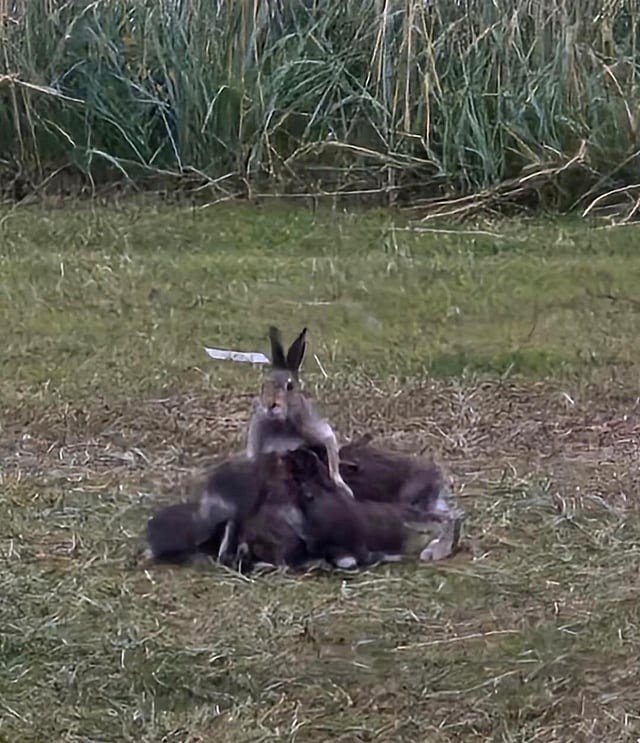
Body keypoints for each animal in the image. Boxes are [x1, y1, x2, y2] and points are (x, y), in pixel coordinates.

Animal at [245, 325, 354, 499]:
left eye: (290, 386)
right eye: (263, 385)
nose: (270, 405)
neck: (282, 423)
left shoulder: (319, 431)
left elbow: (332, 458)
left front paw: (343, 487)